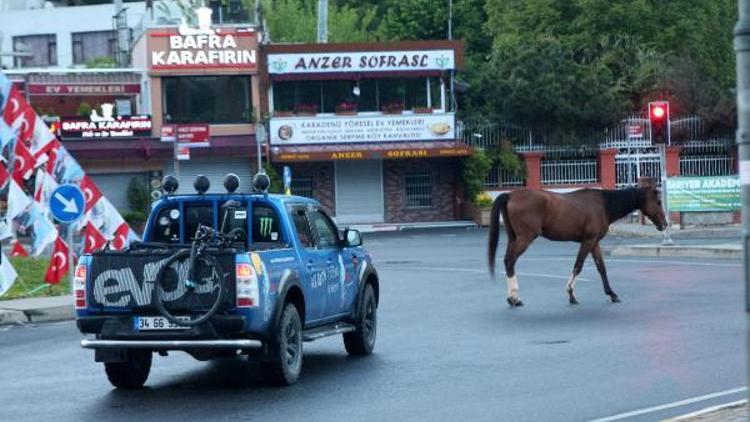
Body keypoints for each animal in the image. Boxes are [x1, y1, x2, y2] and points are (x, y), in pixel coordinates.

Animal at [490, 188, 668, 306]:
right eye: (658, 201)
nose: (665, 224)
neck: (603, 205)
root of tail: (510, 195)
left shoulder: (594, 243)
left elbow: (601, 268)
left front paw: (611, 293)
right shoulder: (588, 241)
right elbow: (578, 266)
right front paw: (571, 294)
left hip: (514, 238)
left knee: (508, 262)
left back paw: (513, 298)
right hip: (525, 238)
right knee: (510, 261)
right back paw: (514, 298)